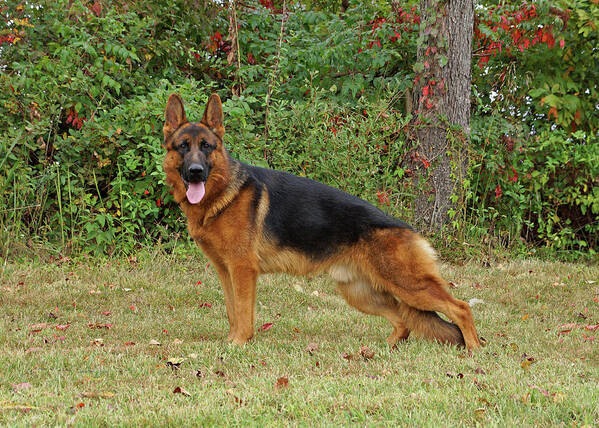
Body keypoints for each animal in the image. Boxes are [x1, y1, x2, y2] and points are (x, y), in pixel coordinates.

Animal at [162, 94, 480, 352]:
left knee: (461, 308)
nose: (195, 172)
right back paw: (385, 348)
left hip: (408, 285)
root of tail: (408, 229)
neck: (222, 194)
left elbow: (242, 312)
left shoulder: (243, 270)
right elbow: (232, 311)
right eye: (183, 147)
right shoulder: (225, 271)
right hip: (362, 294)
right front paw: (231, 341)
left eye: (206, 146)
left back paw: (474, 350)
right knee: (404, 321)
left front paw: (239, 343)